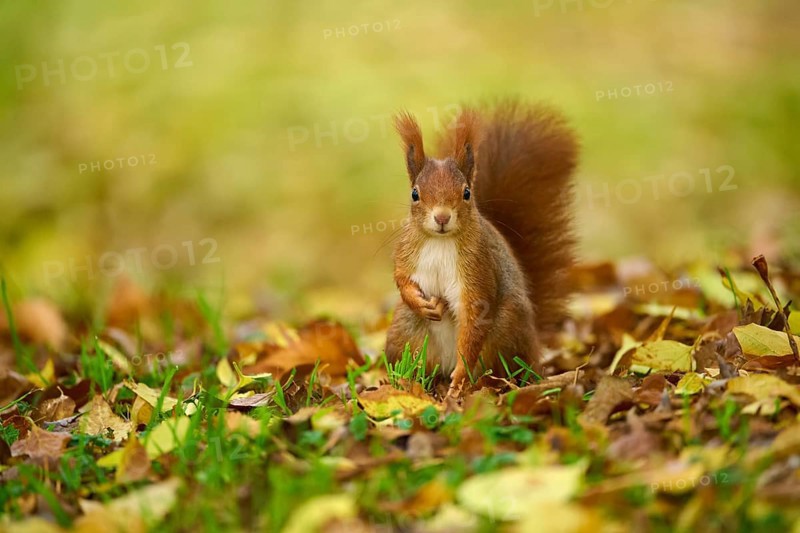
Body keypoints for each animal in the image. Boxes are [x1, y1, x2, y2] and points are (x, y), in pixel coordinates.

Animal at [384, 100, 578, 395]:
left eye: (466, 192)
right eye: (415, 194)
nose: (442, 217)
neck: (440, 241)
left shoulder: (478, 269)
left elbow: (474, 320)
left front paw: (460, 377)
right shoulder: (406, 252)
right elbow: (402, 279)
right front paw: (423, 303)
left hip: (506, 330)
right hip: (404, 332)